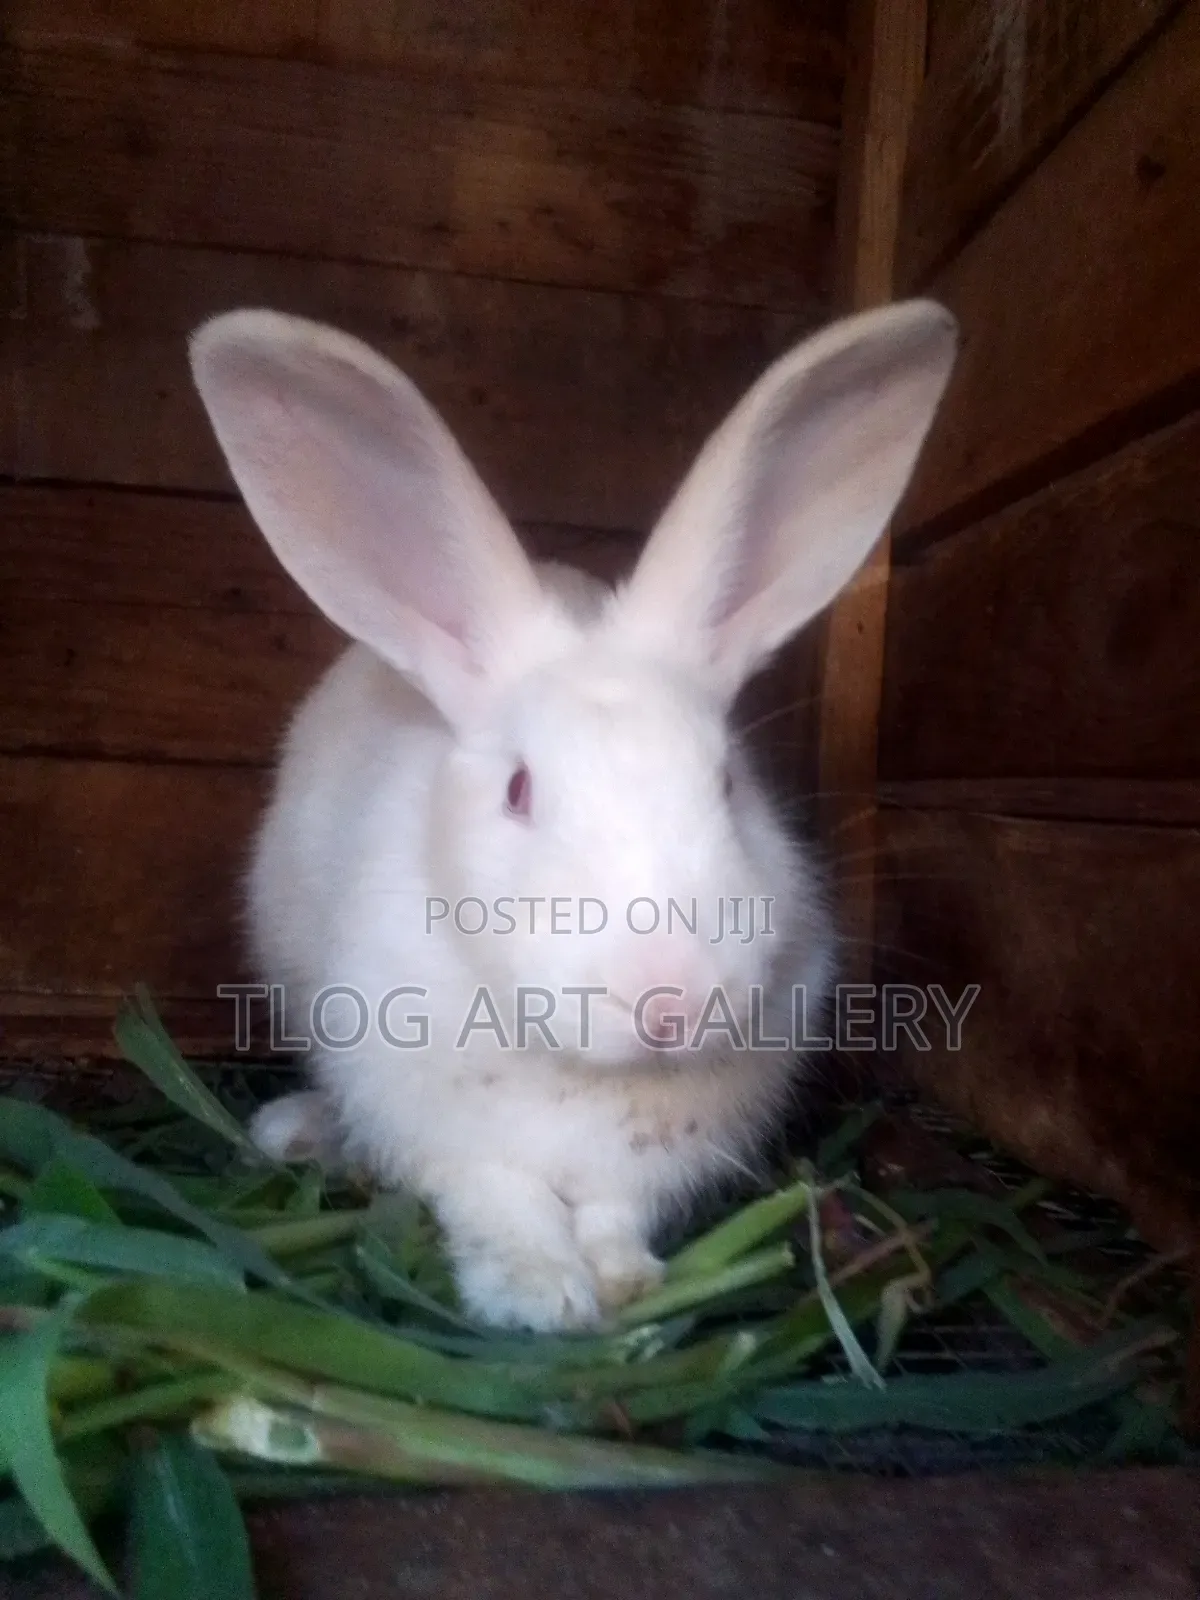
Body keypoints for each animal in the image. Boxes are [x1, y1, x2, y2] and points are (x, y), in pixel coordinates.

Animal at [188, 298, 958, 1330]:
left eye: (727, 782)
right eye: (519, 790)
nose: (670, 1000)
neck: (585, 1071)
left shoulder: (650, 1162)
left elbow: (613, 1214)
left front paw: (629, 1285)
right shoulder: (453, 1137)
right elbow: (501, 1202)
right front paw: (539, 1297)